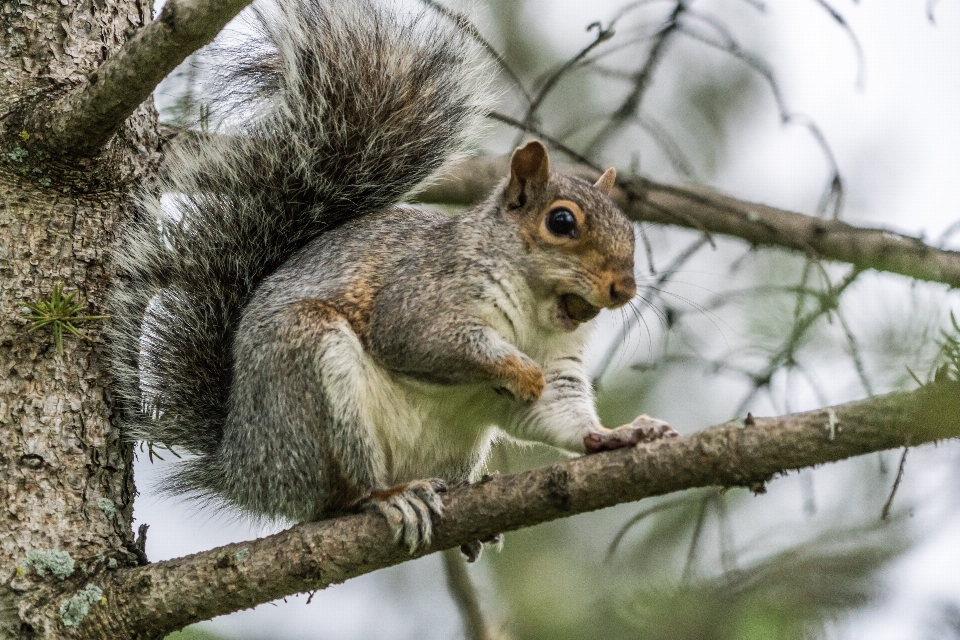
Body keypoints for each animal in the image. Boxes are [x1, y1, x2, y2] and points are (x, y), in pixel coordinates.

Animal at [110, 0, 676, 552]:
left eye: (628, 226)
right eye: (561, 222)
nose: (624, 289)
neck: (537, 313)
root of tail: (241, 464)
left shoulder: (561, 363)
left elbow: (557, 412)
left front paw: (615, 436)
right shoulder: (422, 293)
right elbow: (425, 339)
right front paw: (517, 370)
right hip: (313, 371)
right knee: (338, 496)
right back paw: (387, 496)